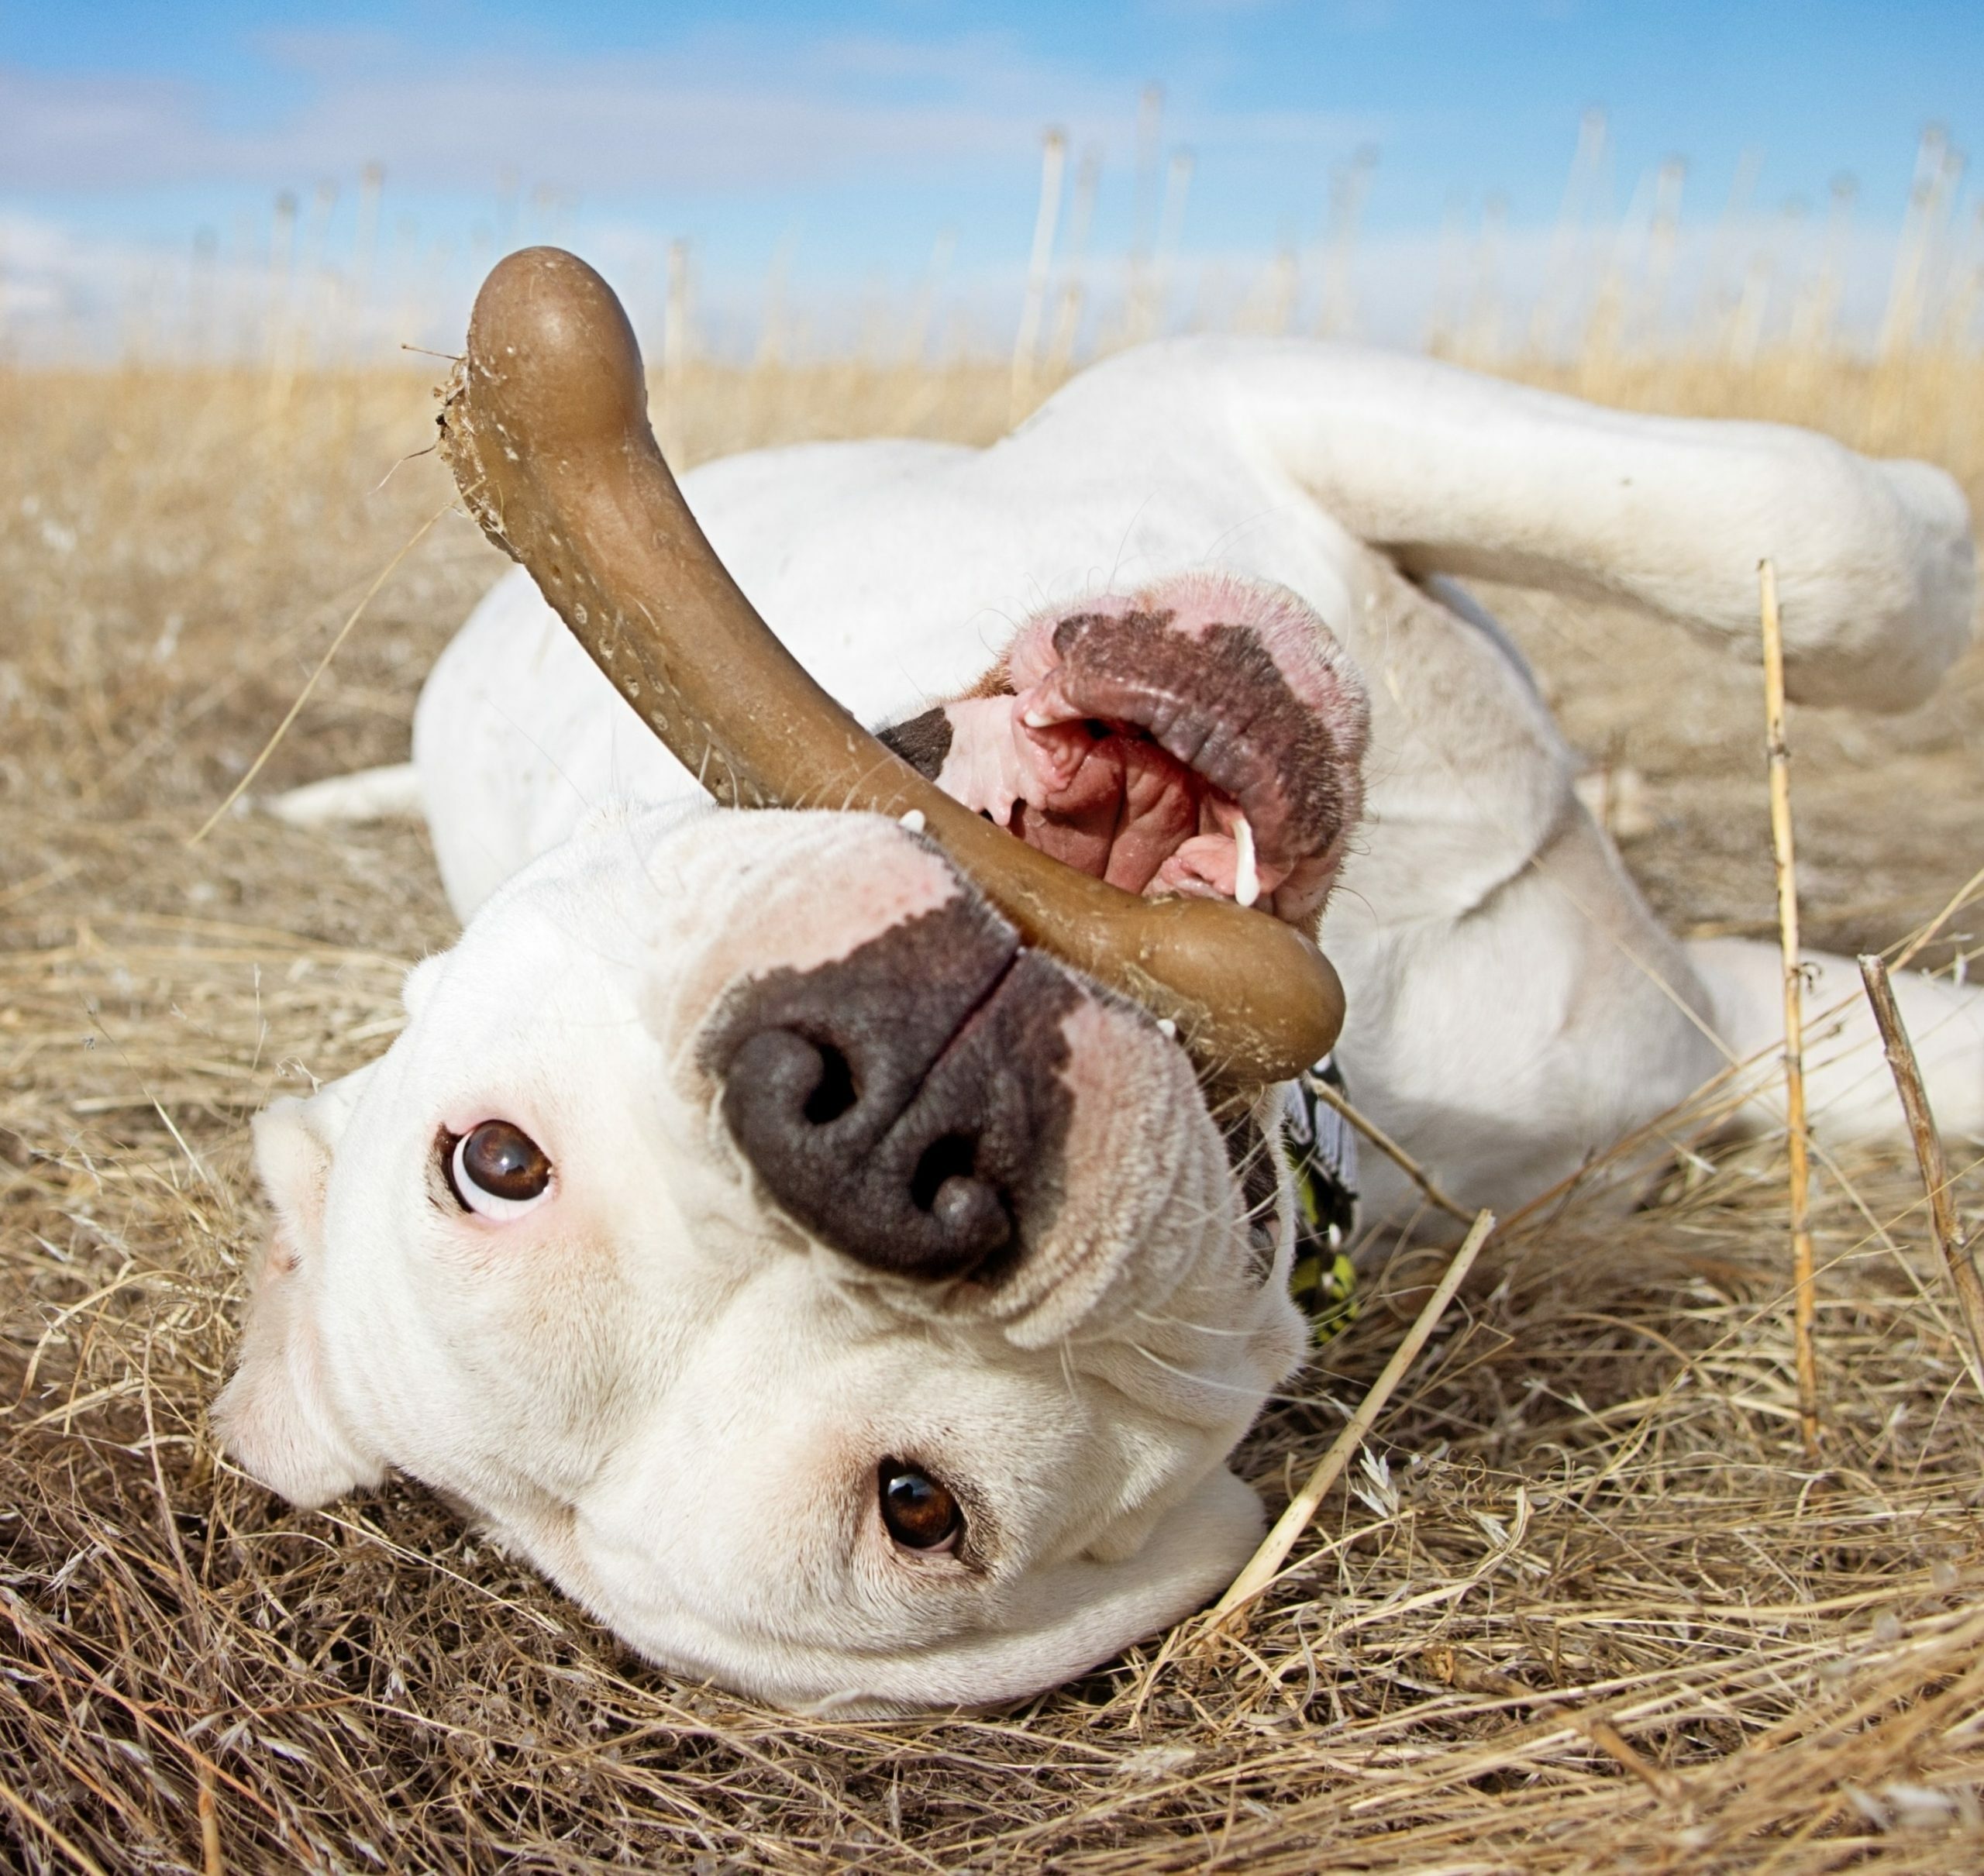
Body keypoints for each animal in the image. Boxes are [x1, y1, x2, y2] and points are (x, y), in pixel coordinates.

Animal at [220, 326, 1983, 1714]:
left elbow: (1827, 535)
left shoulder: (1237, 388)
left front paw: (1933, 527)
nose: (861, 1130)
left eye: (493, 1163)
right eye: (918, 1510)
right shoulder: (1711, 1033)